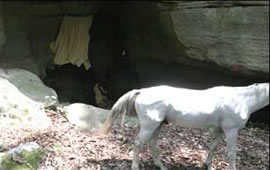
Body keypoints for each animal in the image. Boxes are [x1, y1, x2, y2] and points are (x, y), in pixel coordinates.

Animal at [100, 82, 268, 170]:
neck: (241, 100)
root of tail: (141, 92)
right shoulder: (231, 130)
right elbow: (232, 153)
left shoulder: (219, 129)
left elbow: (213, 147)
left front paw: (208, 165)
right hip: (149, 126)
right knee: (138, 143)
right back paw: (136, 166)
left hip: (157, 126)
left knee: (152, 144)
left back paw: (161, 166)